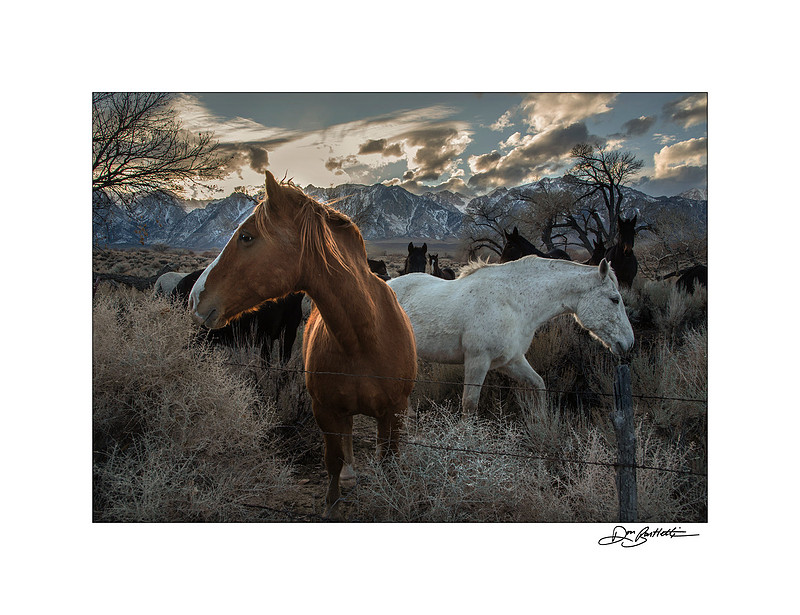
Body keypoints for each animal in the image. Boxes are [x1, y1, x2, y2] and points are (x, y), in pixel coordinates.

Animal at [188, 171, 417, 519]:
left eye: (246, 237)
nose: (195, 298)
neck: (363, 338)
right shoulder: (325, 410)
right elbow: (333, 460)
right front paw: (332, 506)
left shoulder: (395, 412)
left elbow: (389, 463)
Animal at [387, 256, 634, 414]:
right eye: (614, 299)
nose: (628, 342)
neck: (513, 302)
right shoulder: (477, 360)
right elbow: (469, 405)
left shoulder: (511, 361)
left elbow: (539, 384)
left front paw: (542, 421)